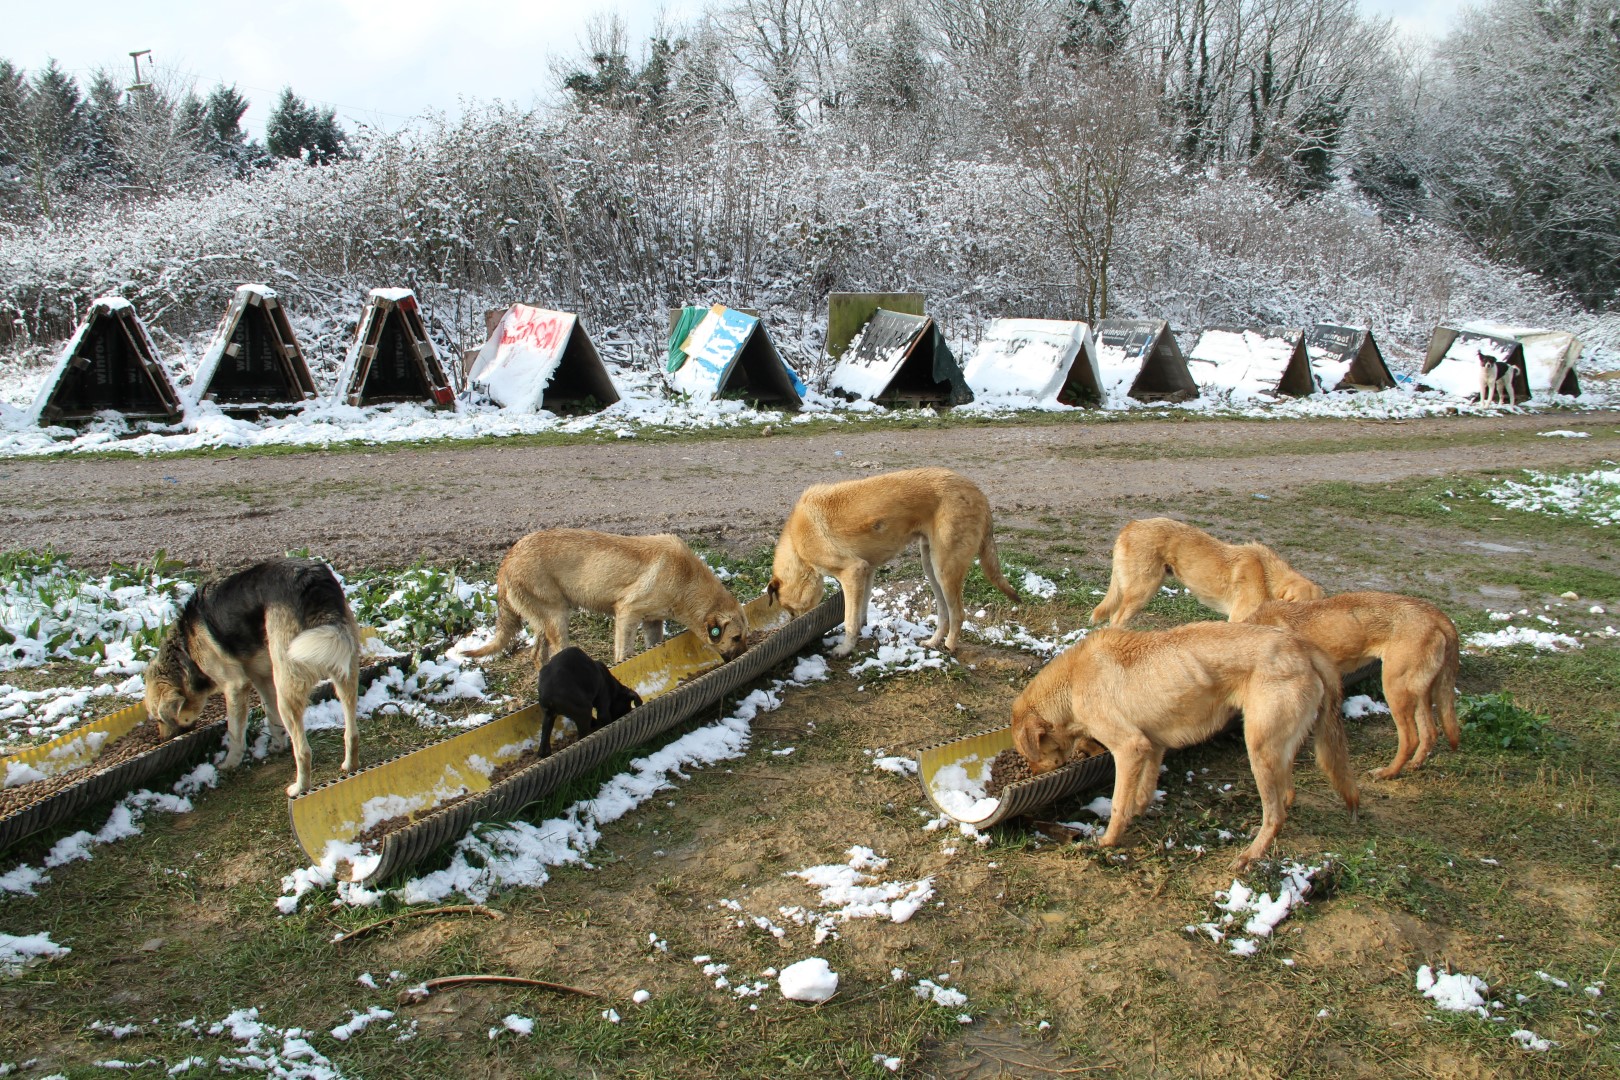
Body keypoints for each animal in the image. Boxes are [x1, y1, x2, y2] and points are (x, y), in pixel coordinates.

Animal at [463, 531, 751, 670]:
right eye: (736, 638)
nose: (744, 654)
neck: (687, 580)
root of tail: (507, 561)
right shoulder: (627, 613)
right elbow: (624, 653)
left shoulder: (653, 622)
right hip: (558, 618)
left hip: (544, 622)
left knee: (537, 656)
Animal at [767, 466, 1017, 654]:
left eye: (790, 610)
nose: (793, 625)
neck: (797, 546)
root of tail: (977, 491)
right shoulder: (866, 572)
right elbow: (860, 614)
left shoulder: (852, 572)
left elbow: (849, 620)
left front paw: (844, 650)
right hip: (931, 567)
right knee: (944, 613)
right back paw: (933, 642)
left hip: (945, 569)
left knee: (958, 614)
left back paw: (949, 646)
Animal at [1088, 518, 1328, 628]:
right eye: (1298, 607)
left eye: (1316, 609)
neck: (1267, 576)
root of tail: (1130, 525)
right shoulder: (1238, 620)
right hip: (1142, 592)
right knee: (1116, 619)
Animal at [1244, 592, 1464, 777]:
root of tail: (1437, 615)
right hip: (1418, 695)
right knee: (1429, 734)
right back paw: (1414, 765)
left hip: (1395, 691)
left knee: (1411, 739)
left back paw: (1387, 773)